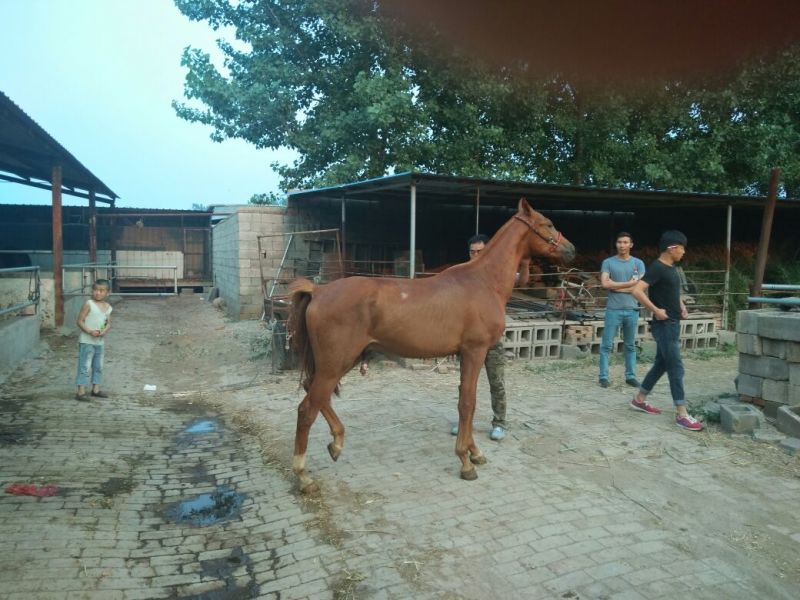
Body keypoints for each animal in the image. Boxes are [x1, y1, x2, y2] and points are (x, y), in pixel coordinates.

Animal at [287, 198, 575, 493]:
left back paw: (336, 443)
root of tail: (318, 291)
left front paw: (474, 452)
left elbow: (466, 400)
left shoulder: (467, 354)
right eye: (548, 223)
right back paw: (303, 475)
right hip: (335, 363)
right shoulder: (474, 351)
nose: (570, 250)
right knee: (306, 410)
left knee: (315, 393)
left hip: (343, 361)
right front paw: (466, 461)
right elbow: (468, 403)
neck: (483, 281)